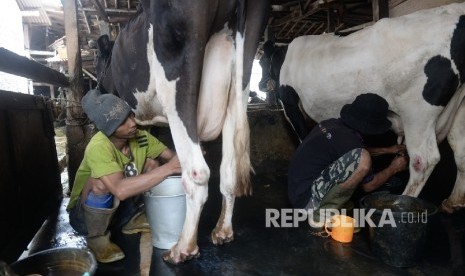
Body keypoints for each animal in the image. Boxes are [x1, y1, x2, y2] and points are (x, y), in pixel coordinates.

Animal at [94, 0, 268, 264]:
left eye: (97, 64)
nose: (97, 88)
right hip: (240, 84)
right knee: (228, 170)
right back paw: (222, 231)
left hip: (177, 84)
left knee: (198, 173)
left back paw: (183, 248)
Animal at [278, 2, 464, 211]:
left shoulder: (289, 103)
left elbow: (302, 136)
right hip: (459, 106)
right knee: (460, 150)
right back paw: (453, 202)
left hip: (417, 111)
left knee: (423, 160)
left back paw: (403, 201)